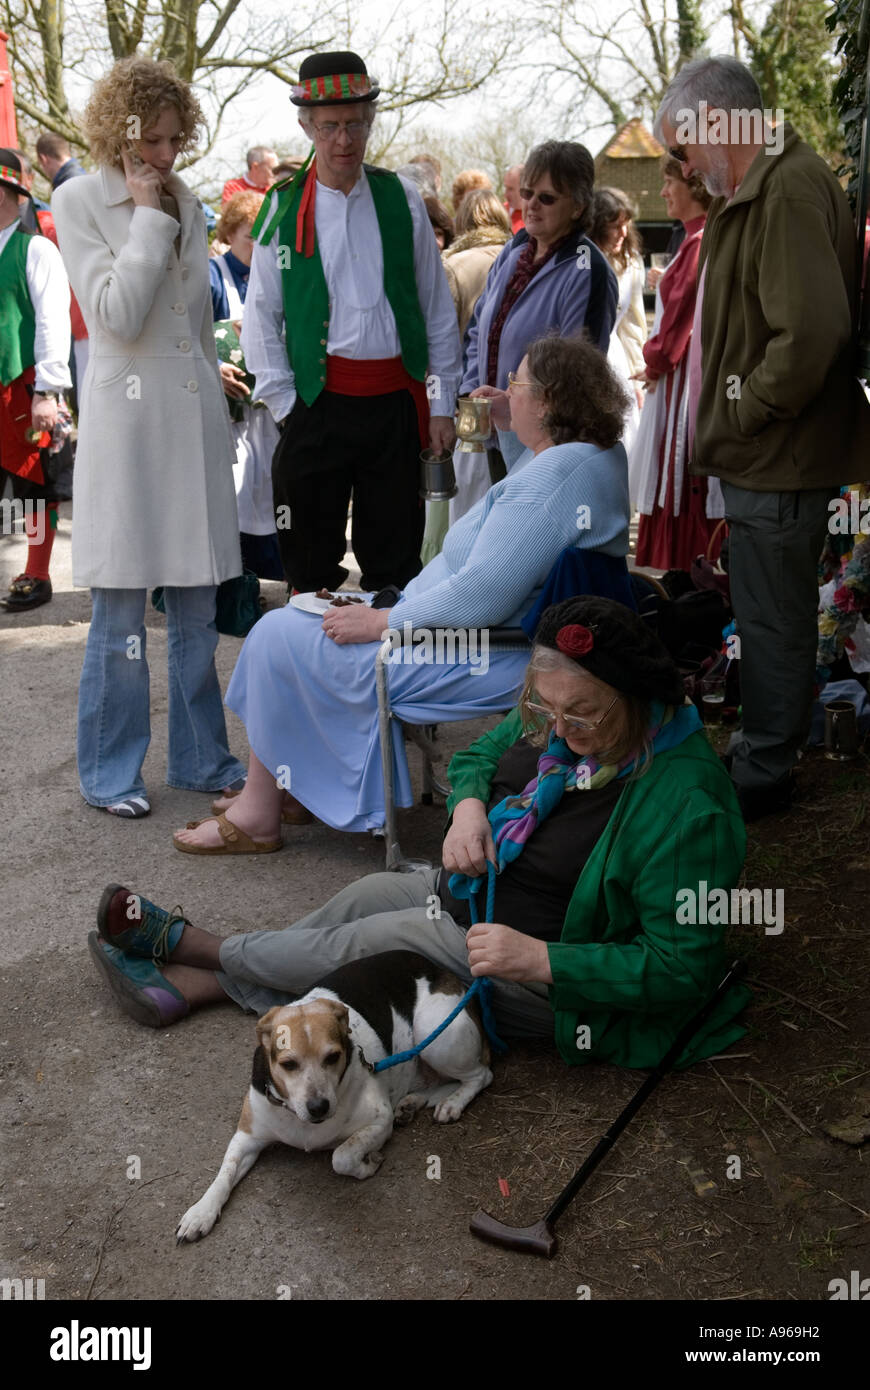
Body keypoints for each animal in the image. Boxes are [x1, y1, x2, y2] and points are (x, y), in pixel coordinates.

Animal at [174, 950, 494, 1245]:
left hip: (436, 1034)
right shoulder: (247, 1135)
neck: (300, 1119)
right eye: (288, 1064)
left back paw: (453, 1103)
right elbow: (224, 1172)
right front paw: (201, 1212)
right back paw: (411, 1103)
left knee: (481, 1075)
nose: (318, 1107)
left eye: (333, 1057)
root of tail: (439, 969)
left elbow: (341, 1156)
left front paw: (367, 1163)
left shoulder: (379, 1121)